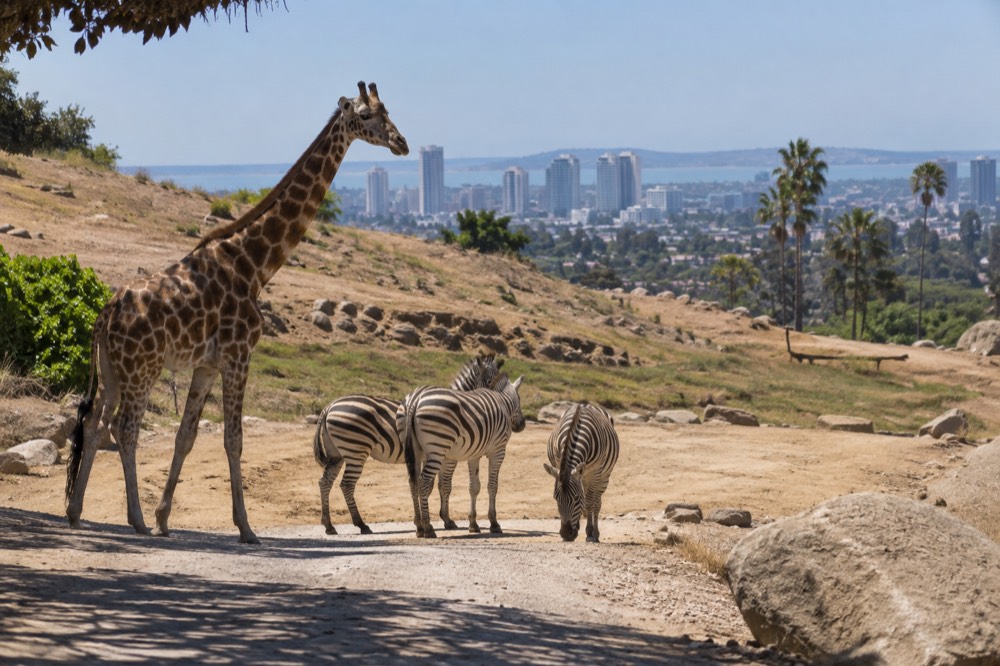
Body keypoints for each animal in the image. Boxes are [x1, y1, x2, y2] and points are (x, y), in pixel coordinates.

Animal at [66, 82, 408, 544]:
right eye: (367, 116)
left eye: (388, 111)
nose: (401, 143)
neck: (254, 264)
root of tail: (104, 316)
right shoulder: (238, 354)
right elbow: (233, 439)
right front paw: (245, 527)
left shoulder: (207, 365)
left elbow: (186, 437)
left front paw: (164, 517)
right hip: (142, 368)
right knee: (125, 429)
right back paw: (133, 519)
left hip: (111, 369)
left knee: (95, 425)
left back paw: (77, 511)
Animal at [312, 354, 502, 535]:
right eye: (490, 382)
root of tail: (328, 407)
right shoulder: (446, 456)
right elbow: (444, 486)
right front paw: (444, 520)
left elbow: (430, 485)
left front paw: (431, 520)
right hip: (355, 451)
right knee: (346, 485)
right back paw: (361, 524)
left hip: (337, 454)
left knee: (325, 482)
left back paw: (328, 525)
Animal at [401, 372, 525, 538]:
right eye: (520, 399)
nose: (522, 425)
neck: (503, 402)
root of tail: (415, 400)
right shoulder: (498, 451)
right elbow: (492, 486)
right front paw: (494, 523)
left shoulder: (474, 455)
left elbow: (474, 487)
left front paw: (473, 524)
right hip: (437, 449)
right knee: (424, 481)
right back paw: (428, 527)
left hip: (416, 451)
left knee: (413, 482)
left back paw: (419, 527)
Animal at [543, 402, 620, 542]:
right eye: (556, 498)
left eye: (577, 499)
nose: (566, 534)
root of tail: (588, 404)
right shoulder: (558, 465)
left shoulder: (595, 472)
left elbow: (589, 502)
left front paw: (590, 532)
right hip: (584, 476)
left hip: (603, 476)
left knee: (596, 502)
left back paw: (595, 533)